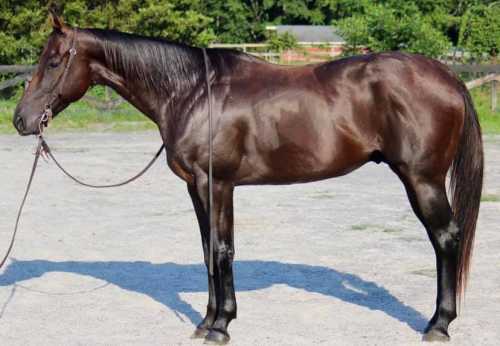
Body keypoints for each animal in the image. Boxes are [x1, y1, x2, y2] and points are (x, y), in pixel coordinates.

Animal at [13, 12, 484, 344]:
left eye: (53, 61)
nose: (21, 120)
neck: (191, 91)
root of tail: (448, 77)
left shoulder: (217, 185)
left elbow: (222, 250)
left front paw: (221, 326)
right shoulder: (197, 187)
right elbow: (208, 250)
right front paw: (206, 321)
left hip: (422, 180)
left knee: (446, 239)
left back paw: (438, 325)